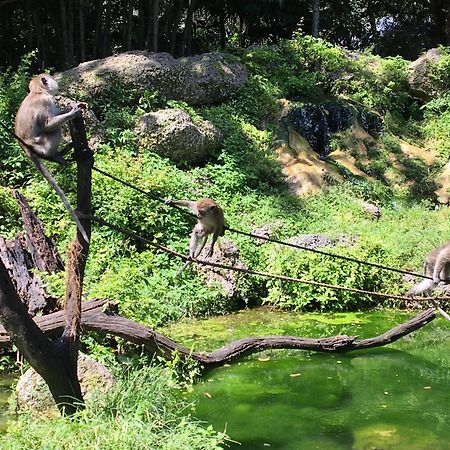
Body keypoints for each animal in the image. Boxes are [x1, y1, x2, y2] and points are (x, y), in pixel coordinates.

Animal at [14, 74, 89, 243]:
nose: (54, 79)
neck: (38, 92)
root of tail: (27, 148)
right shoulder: (45, 101)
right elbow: (48, 124)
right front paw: (73, 112)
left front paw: (74, 106)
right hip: (43, 145)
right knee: (55, 130)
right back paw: (55, 155)